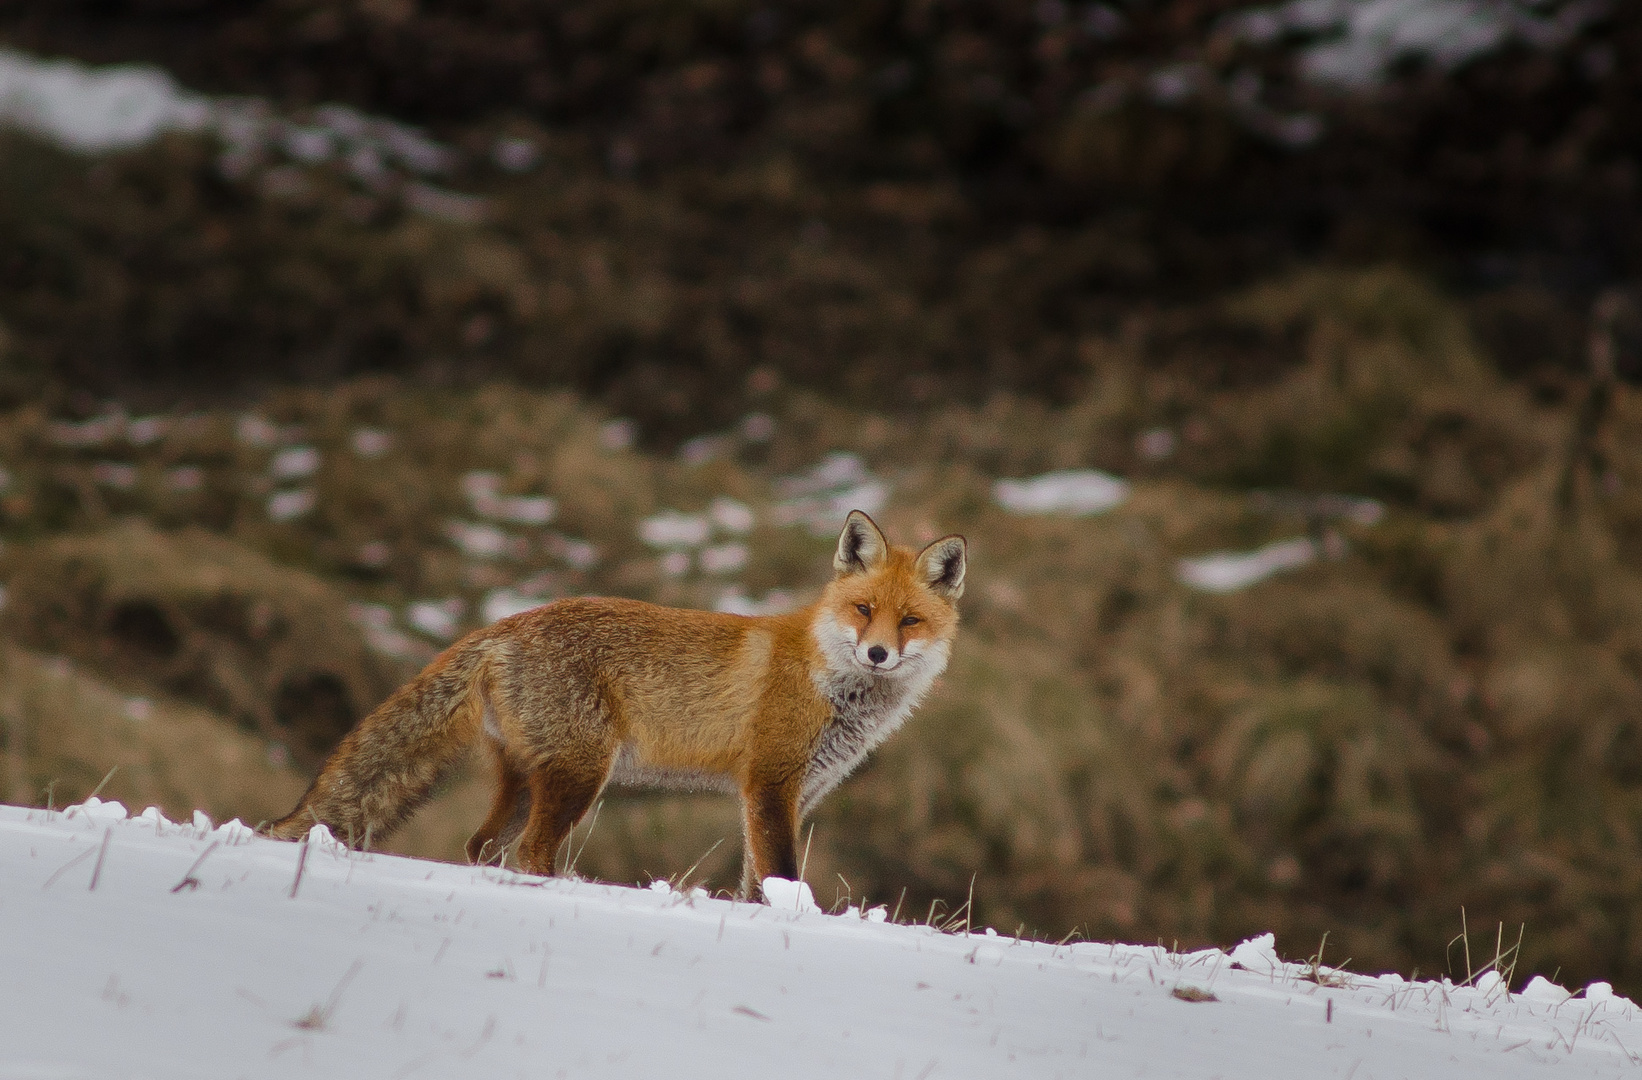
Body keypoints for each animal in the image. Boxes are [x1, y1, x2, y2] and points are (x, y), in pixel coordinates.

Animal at [267, 508, 958, 892]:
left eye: (910, 621)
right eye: (863, 610)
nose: (878, 653)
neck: (830, 680)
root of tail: (506, 623)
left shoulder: (795, 793)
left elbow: (755, 881)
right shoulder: (769, 783)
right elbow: (780, 873)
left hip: (529, 780)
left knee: (483, 847)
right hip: (579, 774)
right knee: (529, 853)